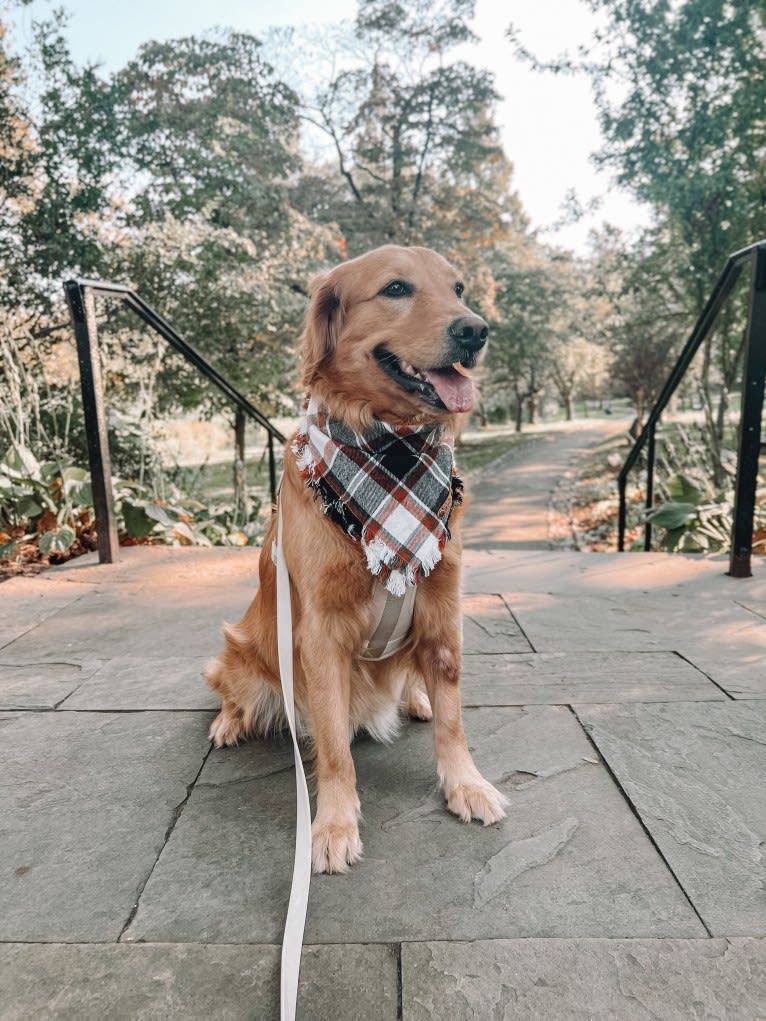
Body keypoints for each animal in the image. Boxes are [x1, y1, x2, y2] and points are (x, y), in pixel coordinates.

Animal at [205, 245, 510, 869]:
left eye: (459, 288)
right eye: (395, 288)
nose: (475, 330)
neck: (389, 447)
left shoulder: (442, 605)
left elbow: (453, 720)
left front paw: (466, 784)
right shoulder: (319, 632)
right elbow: (334, 749)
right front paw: (333, 825)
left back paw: (415, 698)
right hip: (242, 645)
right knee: (230, 686)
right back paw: (228, 721)